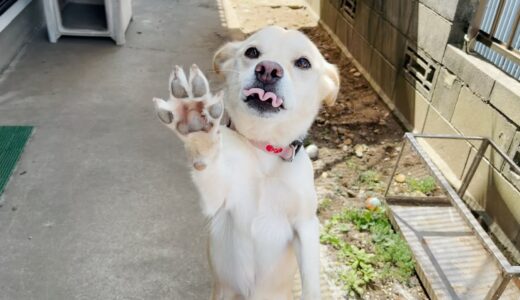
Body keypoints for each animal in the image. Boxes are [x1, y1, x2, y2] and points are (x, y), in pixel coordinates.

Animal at [153, 26, 342, 300]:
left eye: (303, 63)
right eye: (252, 52)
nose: (268, 70)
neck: (264, 153)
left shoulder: (306, 225)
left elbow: (311, 282)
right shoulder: (217, 203)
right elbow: (207, 161)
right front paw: (194, 119)